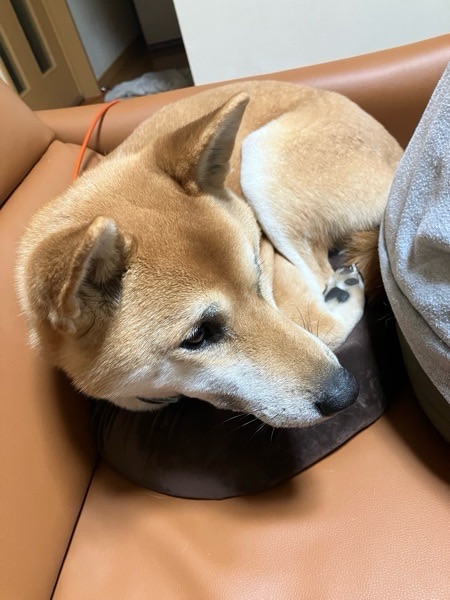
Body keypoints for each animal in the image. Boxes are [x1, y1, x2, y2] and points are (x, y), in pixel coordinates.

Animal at [16, 81, 402, 427]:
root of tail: (397, 151)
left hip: (263, 164)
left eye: (258, 280)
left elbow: (318, 324)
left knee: (319, 273)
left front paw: (339, 300)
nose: (346, 392)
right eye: (197, 336)